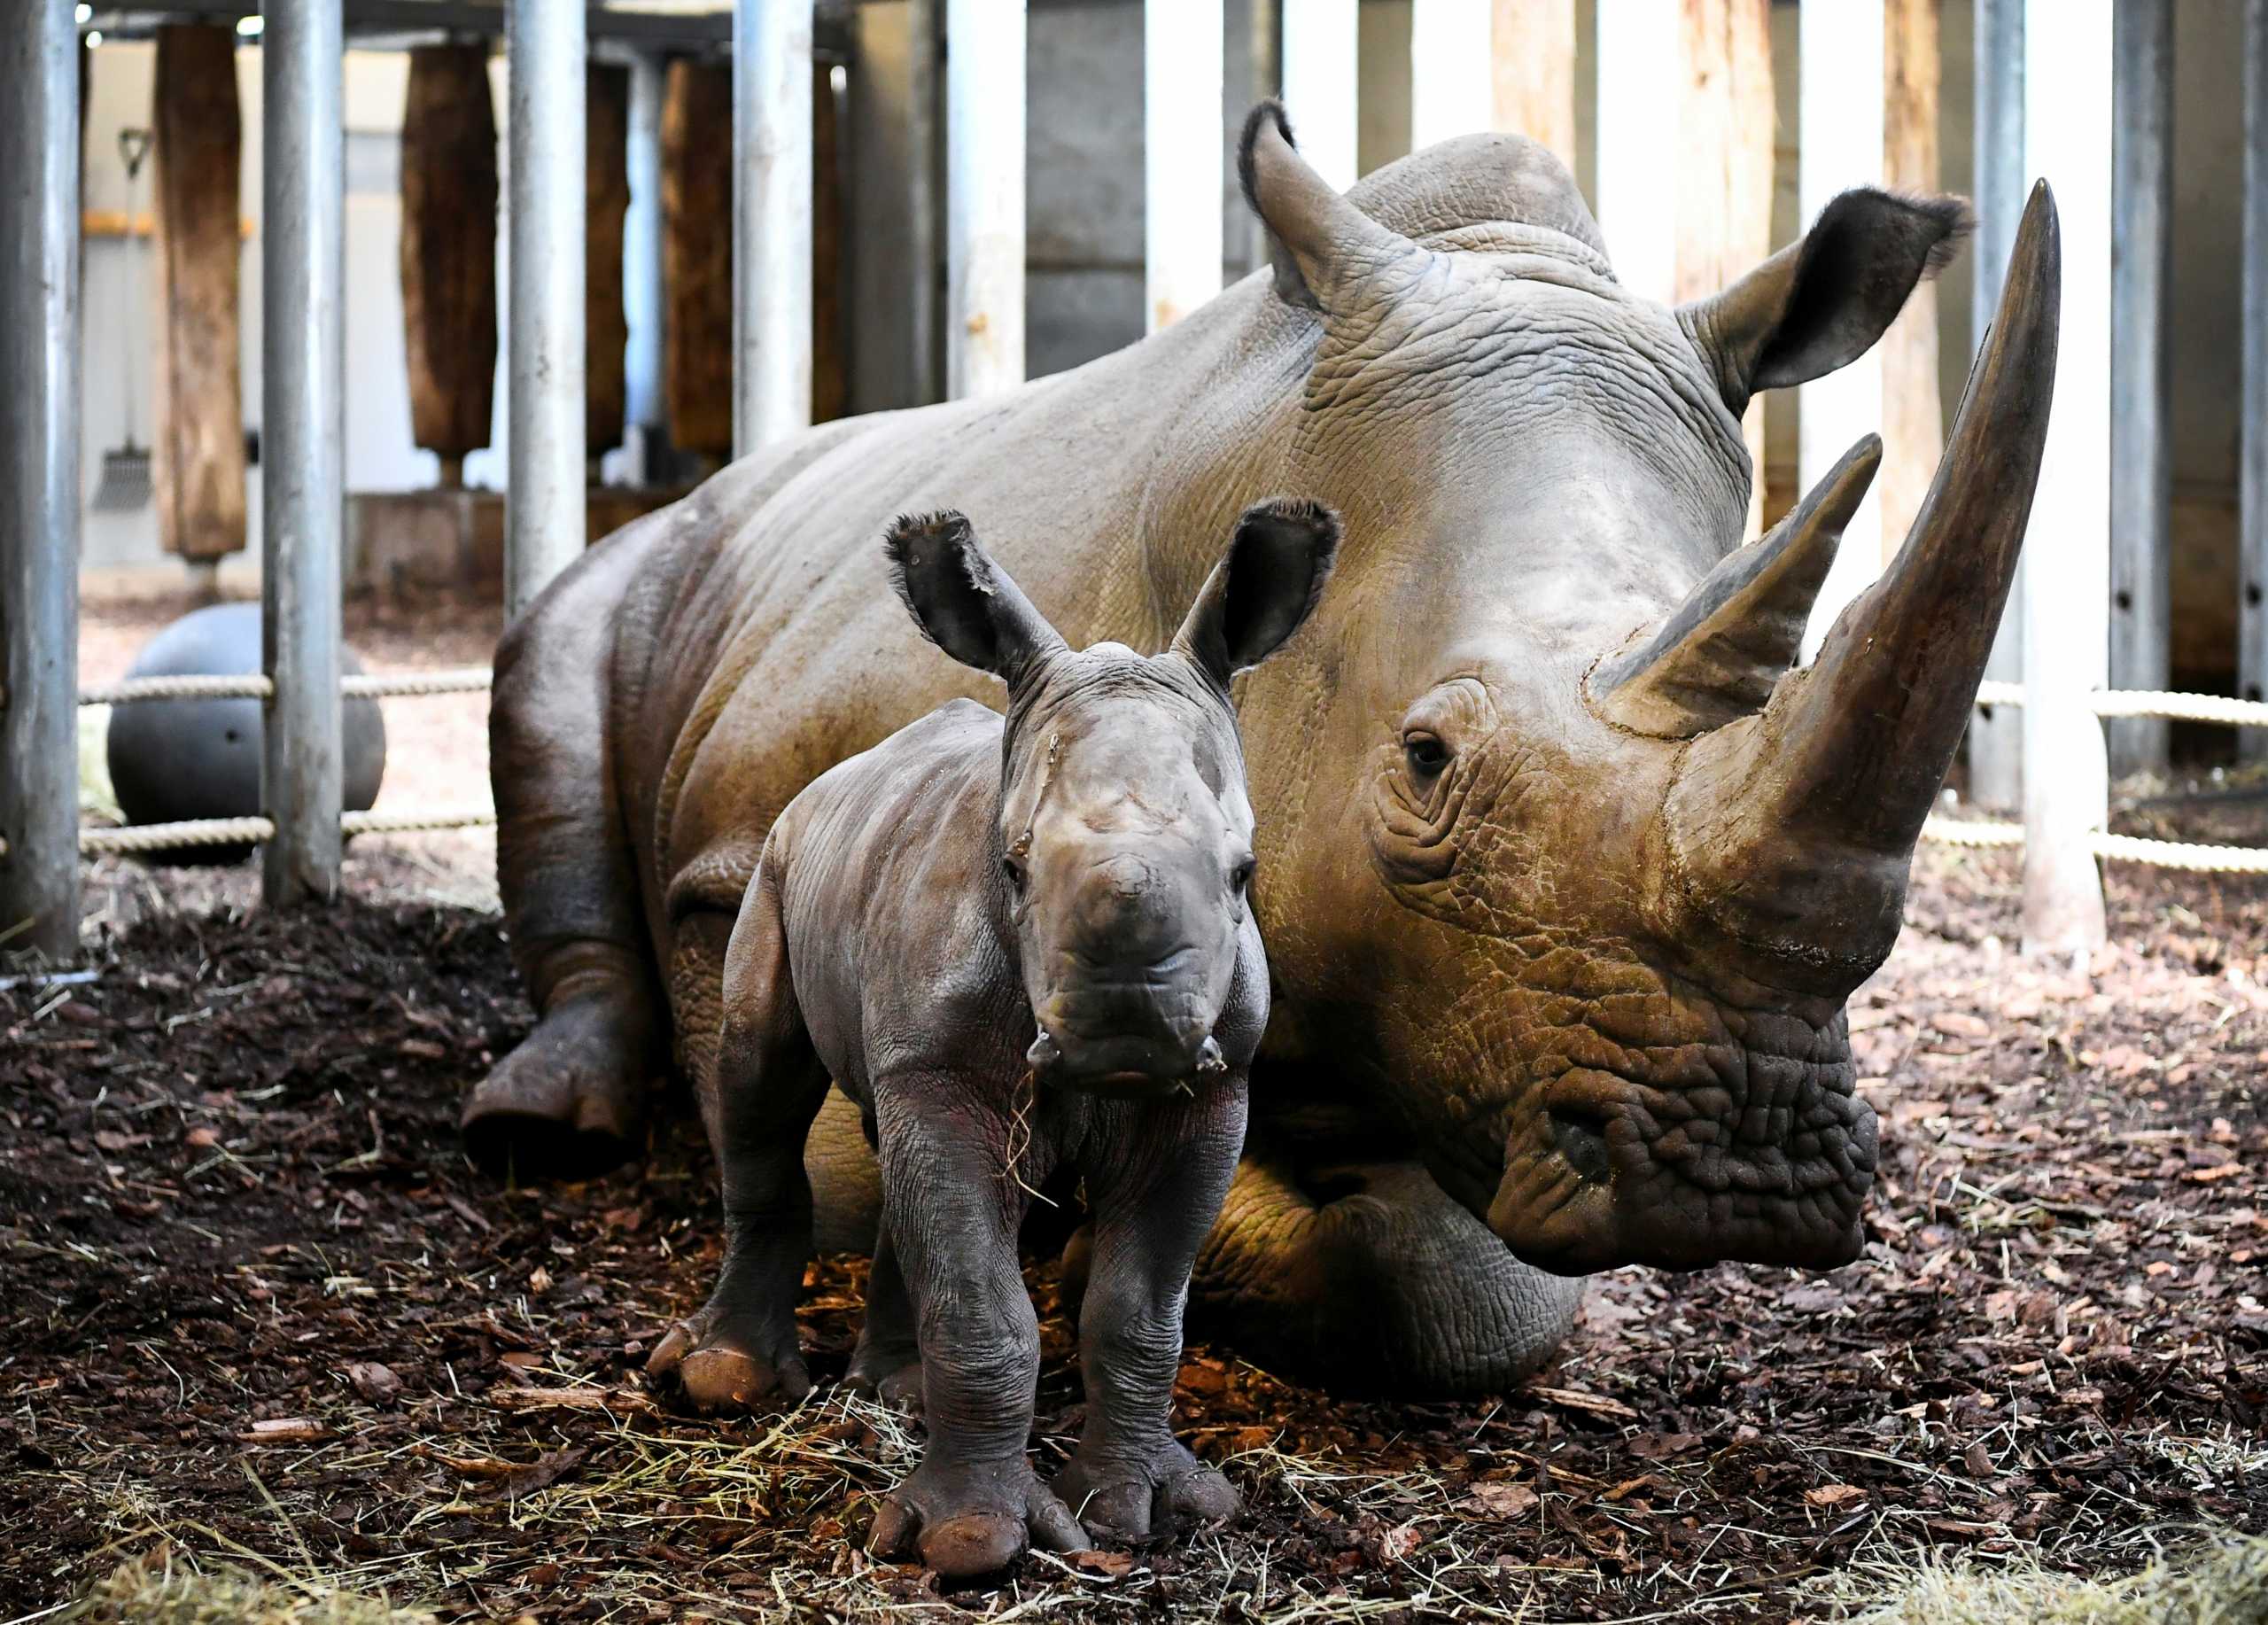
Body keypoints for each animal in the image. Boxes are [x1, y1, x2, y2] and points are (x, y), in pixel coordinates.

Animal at [649, 499, 1333, 1570]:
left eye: (1244, 871)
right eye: (1012, 869)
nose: (1126, 1035)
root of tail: (838, 772)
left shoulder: (1215, 1087)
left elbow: (1140, 1310)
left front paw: (1148, 1513)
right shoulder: (946, 1070)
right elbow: (985, 1305)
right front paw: (970, 1543)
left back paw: (896, 1392)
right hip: (773, 856)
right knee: (759, 1085)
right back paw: (724, 1380)